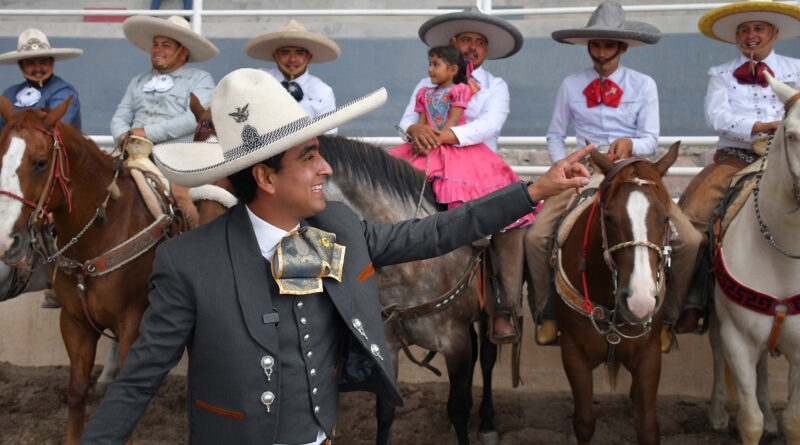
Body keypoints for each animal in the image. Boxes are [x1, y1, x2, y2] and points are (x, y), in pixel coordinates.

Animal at [0, 96, 183, 444]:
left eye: (41, 163)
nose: (5, 240)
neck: (101, 232)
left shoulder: (132, 323)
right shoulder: (74, 323)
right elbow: (76, 391)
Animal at [552, 144, 678, 444]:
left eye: (666, 218)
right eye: (608, 217)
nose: (640, 301)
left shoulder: (649, 356)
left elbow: (648, 426)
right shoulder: (573, 354)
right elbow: (584, 421)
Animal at [706, 74, 800, 445]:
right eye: (792, 134)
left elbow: (793, 422)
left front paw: (778, 422)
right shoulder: (738, 339)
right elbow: (750, 420)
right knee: (718, 351)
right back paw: (718, 414)